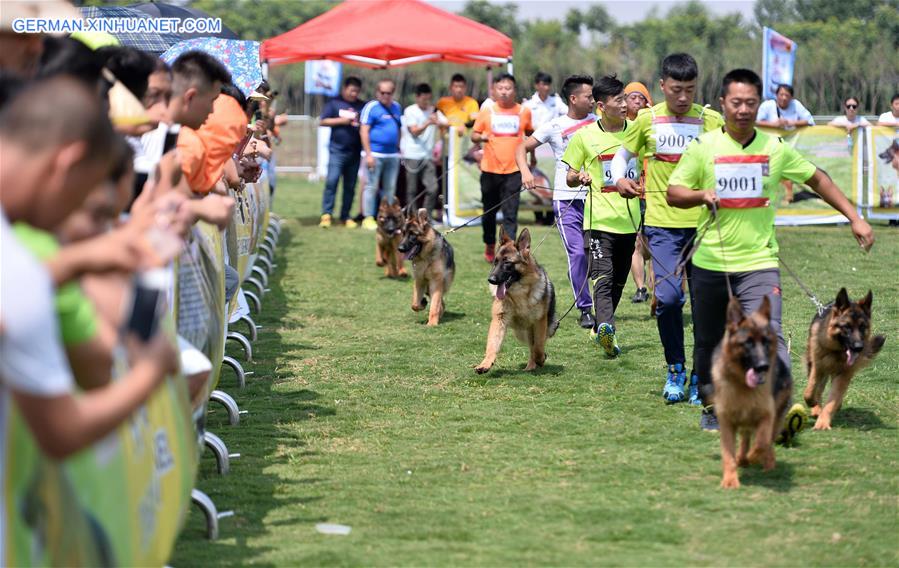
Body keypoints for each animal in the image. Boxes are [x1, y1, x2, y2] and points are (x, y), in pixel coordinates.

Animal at [474, 229, 560, 374]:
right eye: (495, 262)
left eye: (507, 263)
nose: (491, 280)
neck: (519, 294)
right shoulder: (499, 319)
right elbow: (492, 345)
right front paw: (485, 363)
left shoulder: (540, 322)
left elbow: (538, 346)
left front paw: (541, 358)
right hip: (522, 333)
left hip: (548, 326)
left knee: (536, 345)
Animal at [712, 298, 792, 488]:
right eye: (748, 342)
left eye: (766, 342)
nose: (763, 366)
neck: (743, 386)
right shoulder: (727, 424)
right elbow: (728, 455)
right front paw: (730, 480)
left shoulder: (766, 416)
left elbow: (762, 443)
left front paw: (755, 457)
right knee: (746, 439)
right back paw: (743, 458)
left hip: (775, 417)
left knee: (766, 442)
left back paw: (766, 463)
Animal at [804, 288, 888, 430]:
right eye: (847, 327)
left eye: (862, 327)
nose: (859, 347)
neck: (836, 351)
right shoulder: (818, 367)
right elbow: (810, 390)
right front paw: (814, 405)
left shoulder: (843, 375)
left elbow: (832, 400)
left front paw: (823, 422)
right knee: (818, 389)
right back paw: (816, 408)